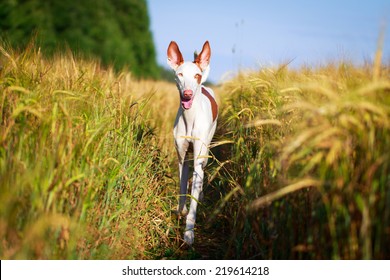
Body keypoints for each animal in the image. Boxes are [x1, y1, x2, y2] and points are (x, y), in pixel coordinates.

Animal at [166, 40, 218, 244]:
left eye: (196, 75)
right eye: (180, 74)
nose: (187, 94)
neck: (189, 117)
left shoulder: (197, 161)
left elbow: (194, 196)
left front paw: (189, 233)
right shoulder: (181, 159)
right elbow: (182, 189)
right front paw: (180, 211)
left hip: (206, 149)